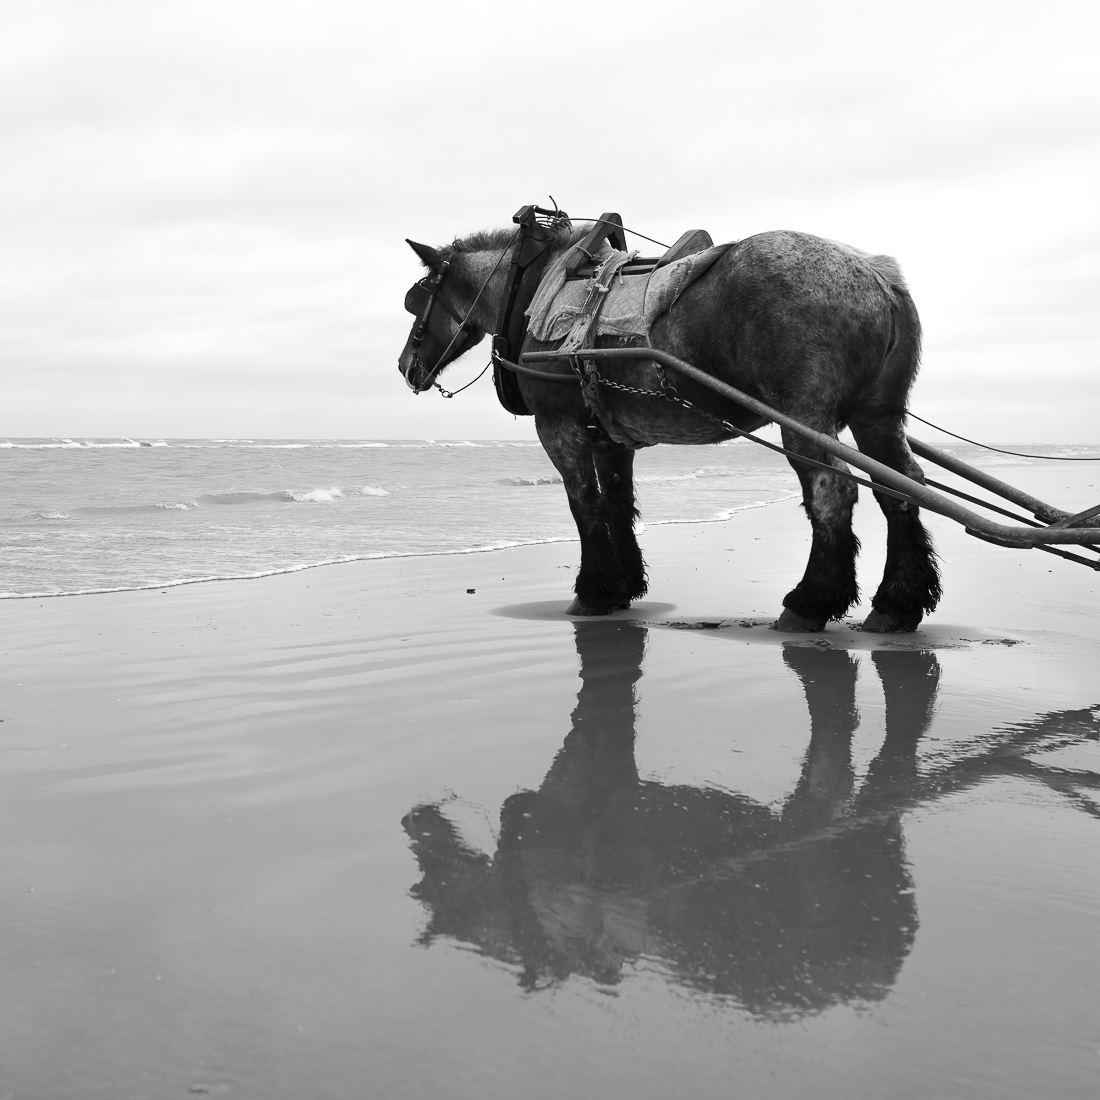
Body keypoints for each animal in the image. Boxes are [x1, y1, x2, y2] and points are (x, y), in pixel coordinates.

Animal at [398, 221, 942, 632]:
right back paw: (897, 604)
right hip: (877, 416)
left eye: (417, 299)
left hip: (805, 417)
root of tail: (876, 274)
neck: (532, 290)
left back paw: (809, 603)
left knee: (832, 493)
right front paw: (622, 587)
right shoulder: (610, 438)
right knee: (902, 488)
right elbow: (618, 505)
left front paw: (592, 592)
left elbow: (584, 505)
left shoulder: (559, 427)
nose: (406, 366)